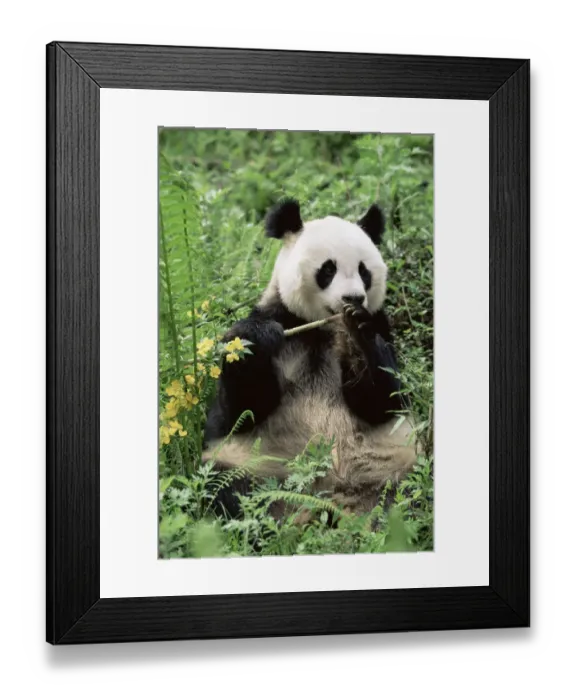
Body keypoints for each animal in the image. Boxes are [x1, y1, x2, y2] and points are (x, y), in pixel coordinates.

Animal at [202, 198, 418, 521]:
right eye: (328, 269)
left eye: (364, 271)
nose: (353, 298)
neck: (323, 327)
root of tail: (330, 497)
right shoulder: (282, 318)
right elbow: (244, 408)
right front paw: (257, 338)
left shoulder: (382, 325)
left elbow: (384, 402)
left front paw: (358, 333)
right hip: (255, 461)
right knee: (225, 485)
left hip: (393, 460)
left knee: (410, 492)